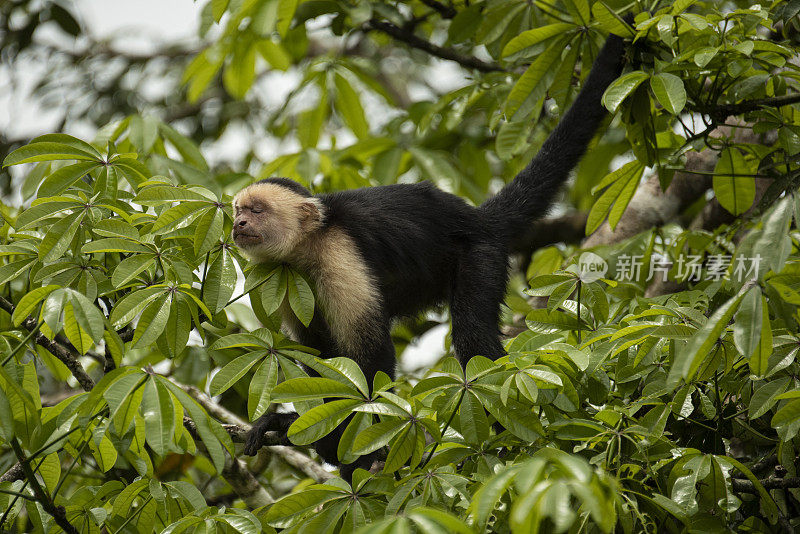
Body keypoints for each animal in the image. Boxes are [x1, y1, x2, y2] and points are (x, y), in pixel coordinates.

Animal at [234, 30, 628, 482]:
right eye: (238, 210)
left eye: (257, 210)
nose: (238, 224)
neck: (306, 247)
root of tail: (476, 217)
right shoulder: (282, 278)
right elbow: (320, 357)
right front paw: (313, 429)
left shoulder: (339, 253)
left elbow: (370, 358)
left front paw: (358, 447)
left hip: (479, 255)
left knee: (474, 338)